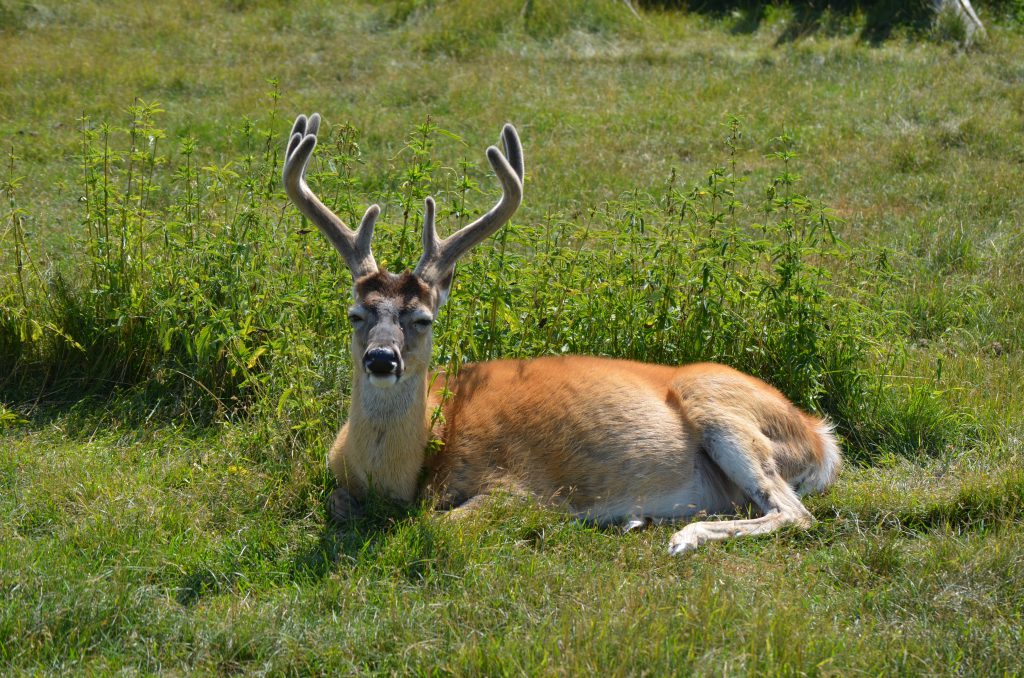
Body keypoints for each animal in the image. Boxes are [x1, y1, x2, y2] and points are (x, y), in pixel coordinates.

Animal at [280, 112, 839, 557]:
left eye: (423, 319)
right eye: (355, 313)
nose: (381, 359)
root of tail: (818, 434)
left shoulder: (516, 484)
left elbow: (438, 526)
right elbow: (335, 503)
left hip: (723, 411)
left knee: (794, 512)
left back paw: (684, 536)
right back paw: (643, 518)